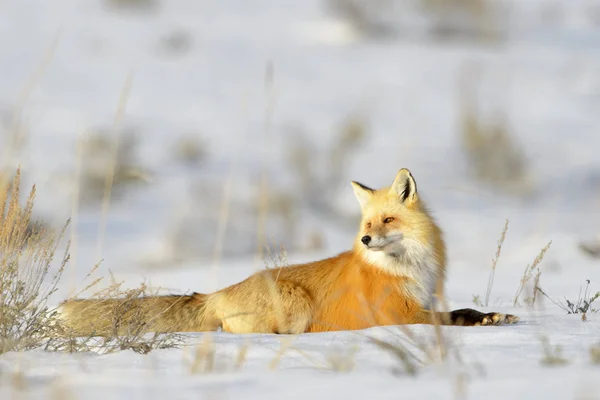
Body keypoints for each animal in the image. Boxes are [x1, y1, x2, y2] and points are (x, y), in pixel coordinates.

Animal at [62, 169, 520, 334]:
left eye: (387, 221)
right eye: (365, 226)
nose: (366, 241)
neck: (406, 269)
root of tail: (217, 292)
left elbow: (464, 310)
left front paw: (495, 317)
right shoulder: (398, 313)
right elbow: (449, 319)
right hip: (295, 305)